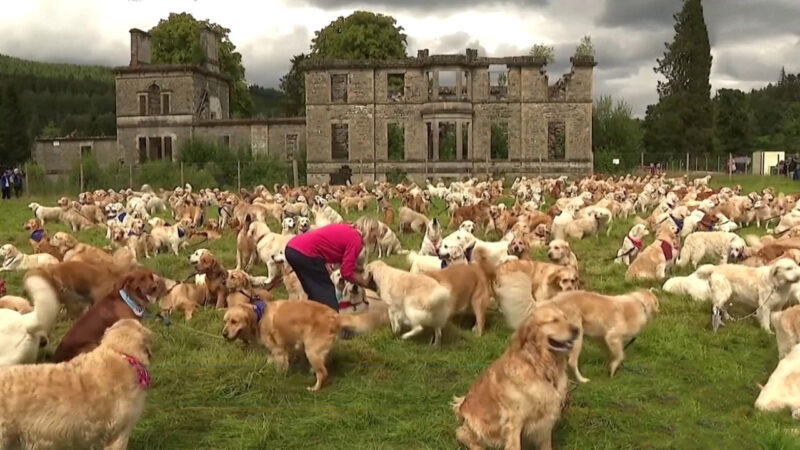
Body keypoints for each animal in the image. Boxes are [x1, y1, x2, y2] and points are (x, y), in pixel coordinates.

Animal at [454, 306, 580, 450]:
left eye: (565, 318)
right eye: (554, 320)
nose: (577, 330)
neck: (539, 366)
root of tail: (461, 407)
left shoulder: (546, 420)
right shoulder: (514, 422)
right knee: (464, 435)